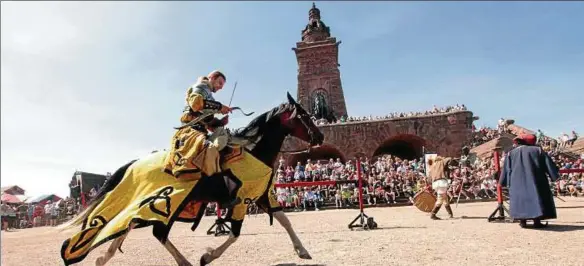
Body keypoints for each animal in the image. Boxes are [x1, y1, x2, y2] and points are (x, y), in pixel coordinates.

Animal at [60, 92, 324, 266]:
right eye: (303, 115)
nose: (320, 136)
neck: (254, 150)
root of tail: (133, 164)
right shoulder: (241, 200)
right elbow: (235, 233)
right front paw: (207, 256)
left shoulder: (261, 195)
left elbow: (284, 220)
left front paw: (302, 250)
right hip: (165, 202)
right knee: (151, 230)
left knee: (133, 225)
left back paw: (106, 256)